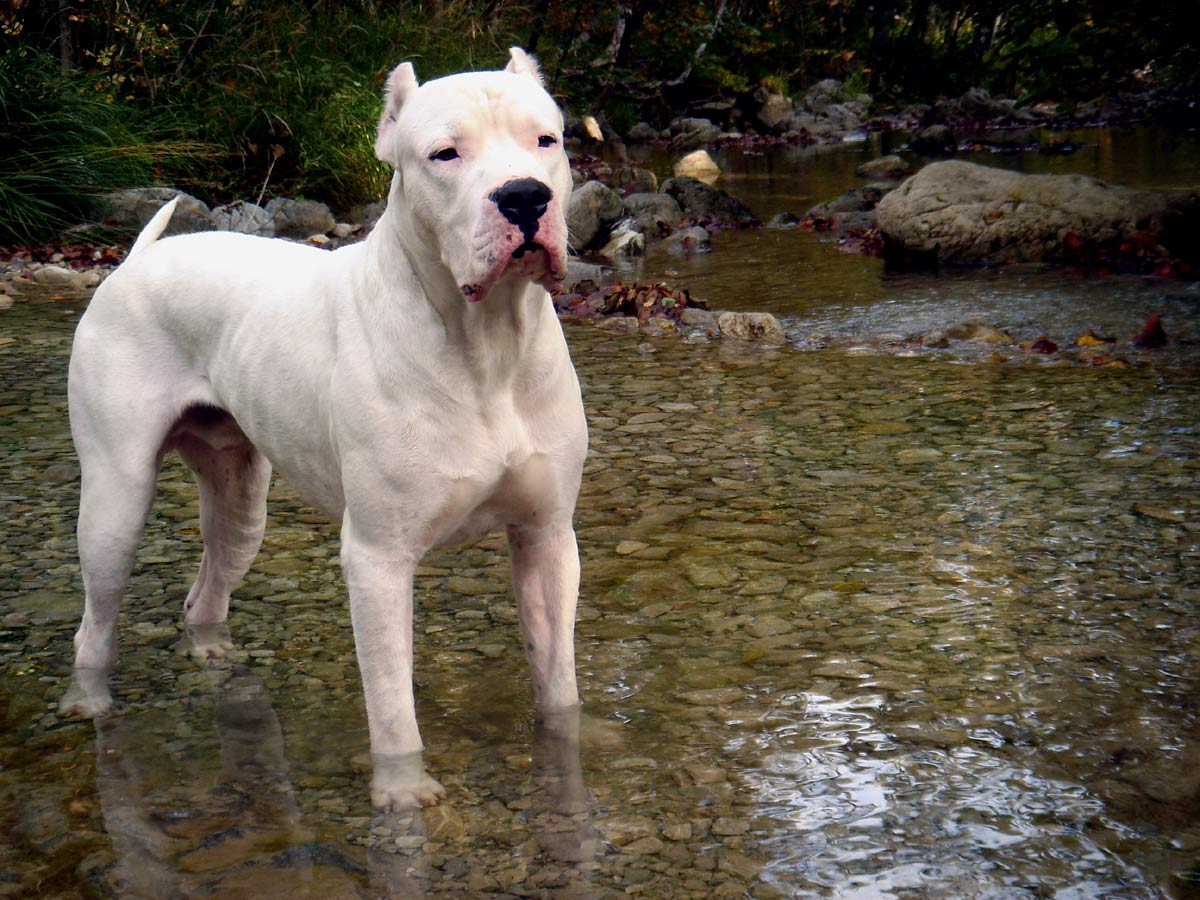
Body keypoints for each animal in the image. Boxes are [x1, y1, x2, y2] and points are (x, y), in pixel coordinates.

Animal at [63, 47, 588, 811]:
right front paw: (401, 795)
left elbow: (558, 684)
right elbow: (393, 707)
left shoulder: (546, 538)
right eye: (445, 154)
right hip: (115, 503)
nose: (523, 196)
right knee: (94, 627)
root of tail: (136, 260)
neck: (486, 342)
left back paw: (212, 655)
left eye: (545, 141)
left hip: (241, 501)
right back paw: (91, 705)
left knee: (207, 586)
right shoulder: (378, 559)